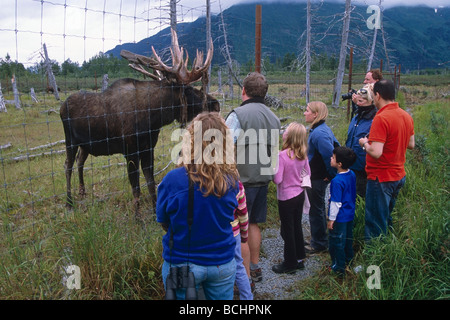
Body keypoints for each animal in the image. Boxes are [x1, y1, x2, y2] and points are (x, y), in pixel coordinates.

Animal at [60, 29, 220, 218]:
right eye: (188, 90)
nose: (215, 104)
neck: (153, 118)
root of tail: (61, 107)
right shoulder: (130, 151)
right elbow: (136, 187)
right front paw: (137, 217)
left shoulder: (147, 148)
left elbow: (151, 183)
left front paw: (155, 212)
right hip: (70, 141)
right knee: (68, 165)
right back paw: (69, 202)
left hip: (85, 144)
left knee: (80, 162)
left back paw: (82, 191)